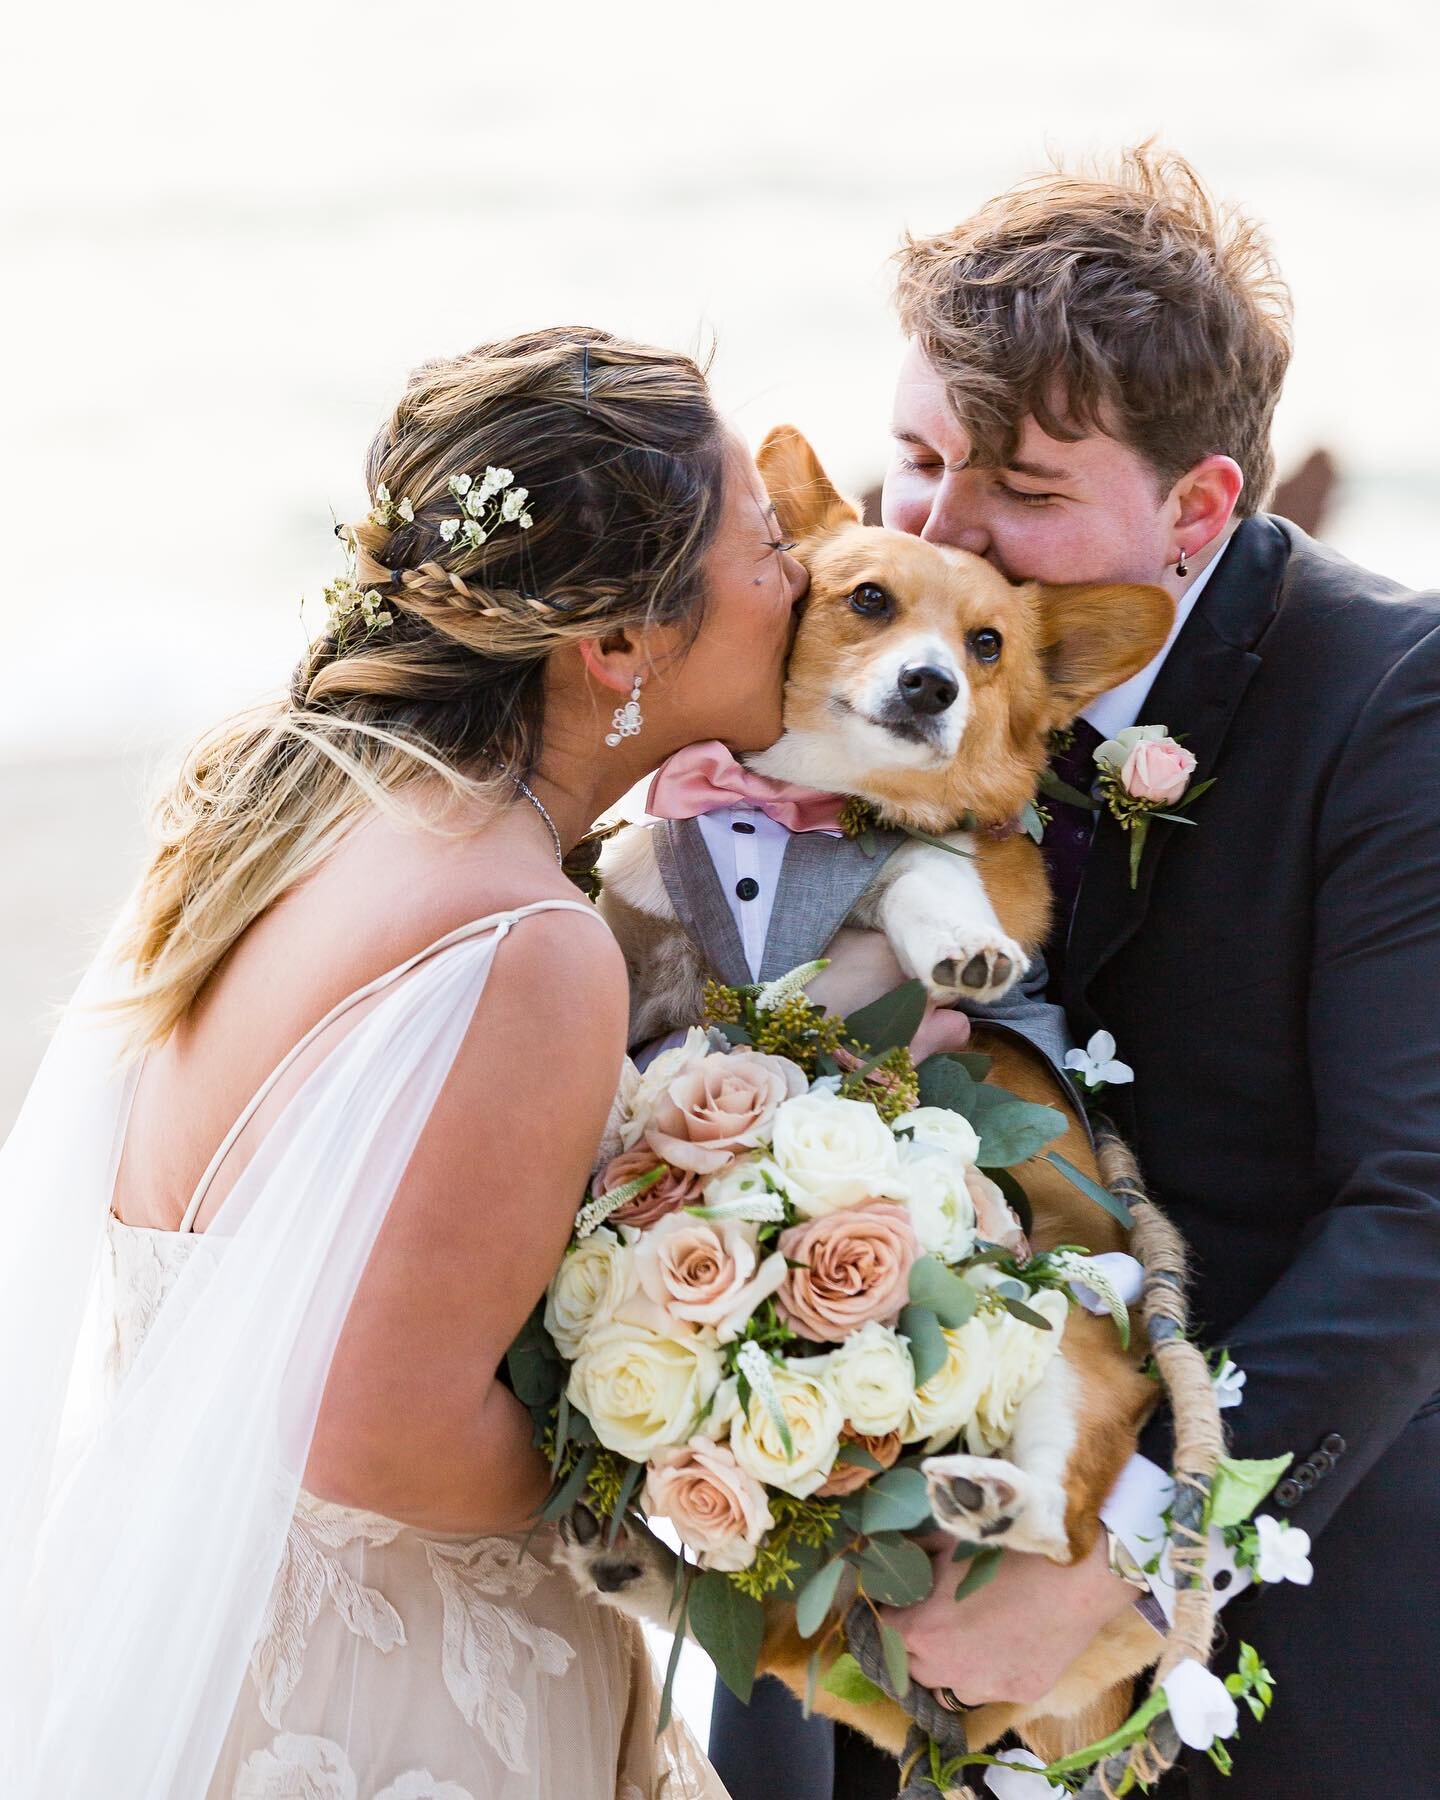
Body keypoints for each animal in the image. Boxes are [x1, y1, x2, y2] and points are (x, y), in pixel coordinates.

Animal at [568, 428, 1188, 1764]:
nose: (932, 686)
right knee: (782, 1647)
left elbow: (919, 864)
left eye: (989, 644)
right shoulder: (646, 915)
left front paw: (956, 946)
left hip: (1062, 1350)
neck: (793, 820)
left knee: (1058, 1513)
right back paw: (624, 1561)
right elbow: (629, 956)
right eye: (867, 601)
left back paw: (988, 1494)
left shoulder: (961, 865)